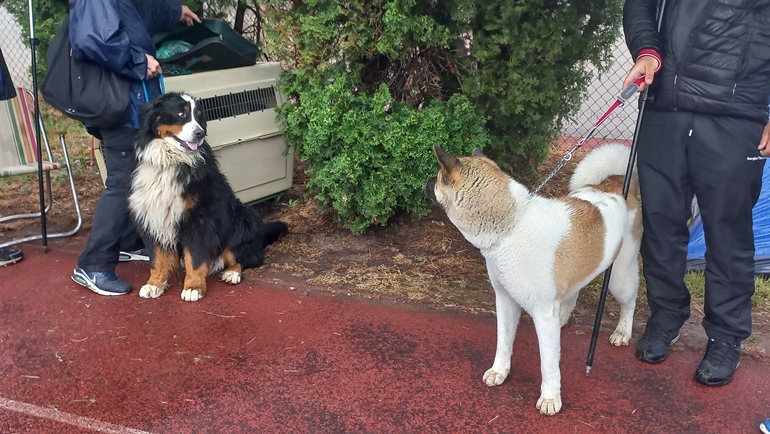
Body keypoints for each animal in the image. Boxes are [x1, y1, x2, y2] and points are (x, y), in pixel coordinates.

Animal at [128, 92, 288, 302]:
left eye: (199, 116)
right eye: (181, 114)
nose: (200, 133)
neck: (171, 162)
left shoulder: (199, 218)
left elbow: (195, 257)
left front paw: (193, 287)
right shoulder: (152, 215)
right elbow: (157, 258)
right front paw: (154, 284)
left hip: (244, 218)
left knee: (249, 257)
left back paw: (232, 272)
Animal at [425, 144, 641, 415]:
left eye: (438, 179)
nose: (426, 181)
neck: (511, 227)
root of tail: (618, 183)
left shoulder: (543, 313)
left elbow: (548, 362)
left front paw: (550, 398)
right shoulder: (505, 300)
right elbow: (503, 341)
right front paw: (499, 371)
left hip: (619, 277)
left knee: (629, 302)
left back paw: (623, 332)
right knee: (573, 293)